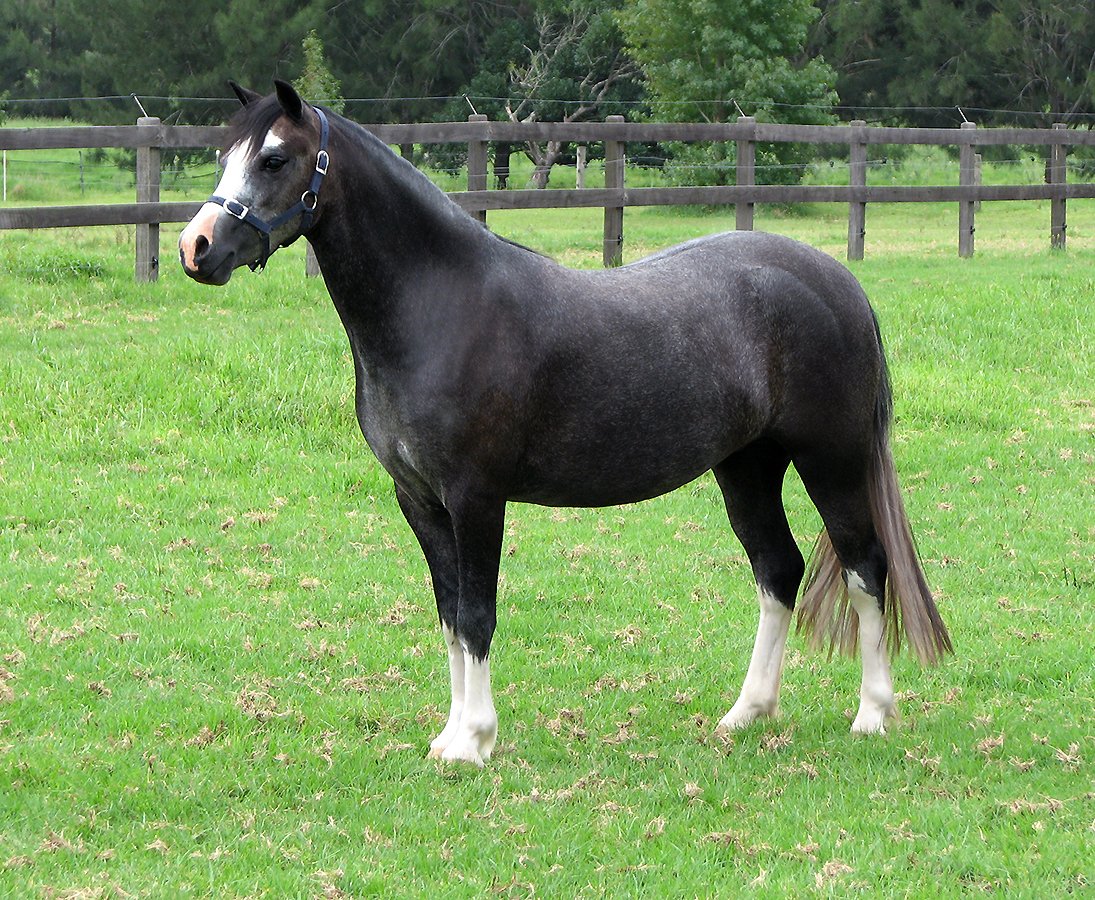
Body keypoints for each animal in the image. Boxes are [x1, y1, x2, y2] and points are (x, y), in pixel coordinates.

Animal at [180, 81, 951, 766]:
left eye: (273, 159)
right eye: (224, 155)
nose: (196, 247)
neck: (438, 307)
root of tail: (837, 281)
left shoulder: (476, 498)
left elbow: (477, 615)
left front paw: (474, 743)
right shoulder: (420, 501)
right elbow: (450, 616)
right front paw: (448, 737)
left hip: (832, 460)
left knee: (864, 568)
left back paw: (872, 714)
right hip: (746, 465)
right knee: (778, 570)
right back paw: (746, 713)